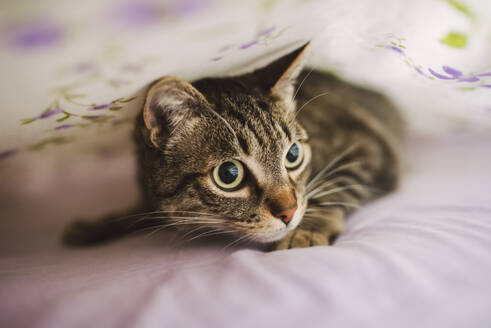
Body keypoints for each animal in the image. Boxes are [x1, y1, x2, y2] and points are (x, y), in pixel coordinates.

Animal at [63, 43, 406, 249]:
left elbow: (334, 187)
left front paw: (304, 230)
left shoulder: (365, 145)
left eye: (293, 155)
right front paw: (99, 225)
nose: (289, 212)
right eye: (229, 174)